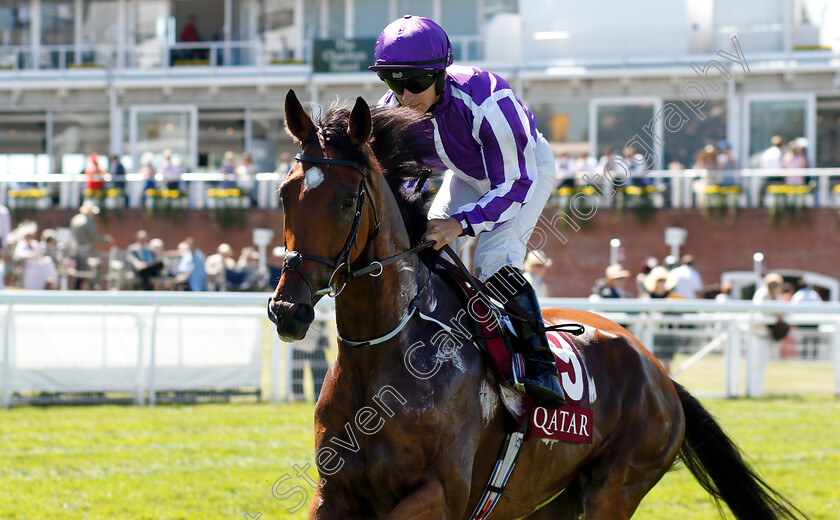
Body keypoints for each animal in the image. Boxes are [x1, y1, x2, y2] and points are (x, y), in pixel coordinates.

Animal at [270, 90, 808, 520]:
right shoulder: (334, 491)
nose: (288, 310)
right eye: (283, 193)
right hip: (549, 500)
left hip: (616, 487)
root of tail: (658, 371)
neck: (385, 355)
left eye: (346, 200)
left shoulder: (441, 493)